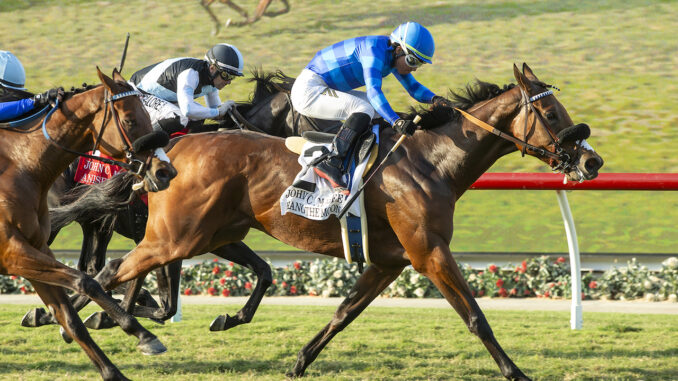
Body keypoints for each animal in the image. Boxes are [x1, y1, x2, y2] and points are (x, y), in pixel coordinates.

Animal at [0, 68, 178, 380]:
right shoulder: (12, 252)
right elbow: (87, 282)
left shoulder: (34, 249)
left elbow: (71, 317)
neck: (21, 165)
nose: (164, 171)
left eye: (148, 114)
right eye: (130, 120)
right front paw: (140, 332)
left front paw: (114, 369)